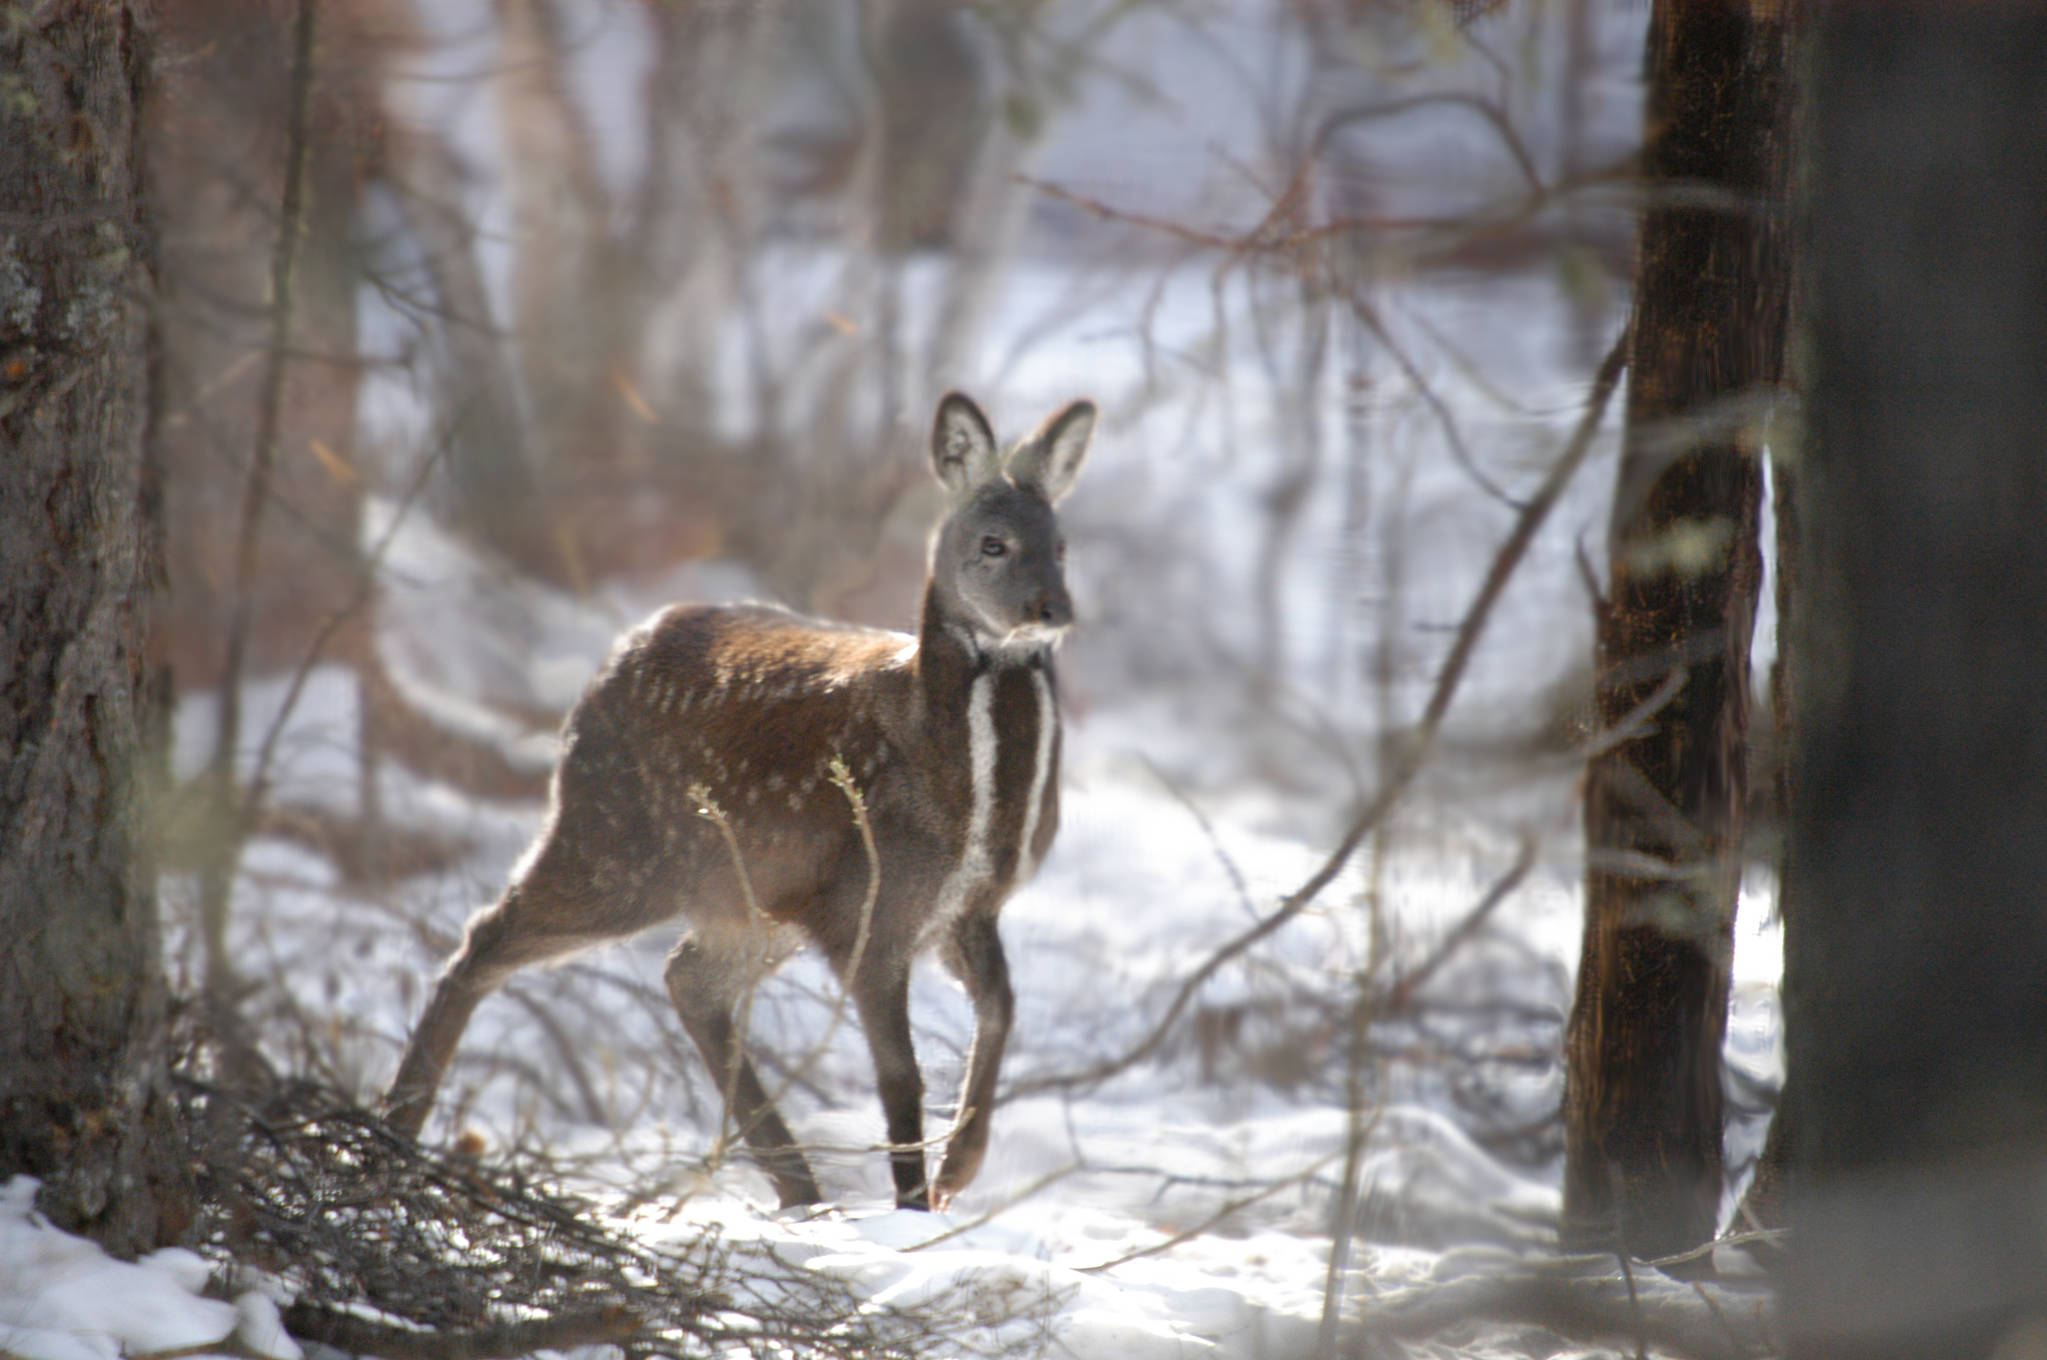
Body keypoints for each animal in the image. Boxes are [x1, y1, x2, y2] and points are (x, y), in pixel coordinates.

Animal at [378, 391, 1097, 1212]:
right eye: (992, 543)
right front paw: (915, 1208)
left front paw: (958, 1170)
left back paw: (800, 1189)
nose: (1051, 608)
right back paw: (398, 1124)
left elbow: (1002, 1009)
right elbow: (900, 1077)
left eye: (1061, 545)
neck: (966, 804)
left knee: (686, 980)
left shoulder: (966, 906)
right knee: (487, 935)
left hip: (748, 895)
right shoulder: (870, 903)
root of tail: (609, 664)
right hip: (614, 842)